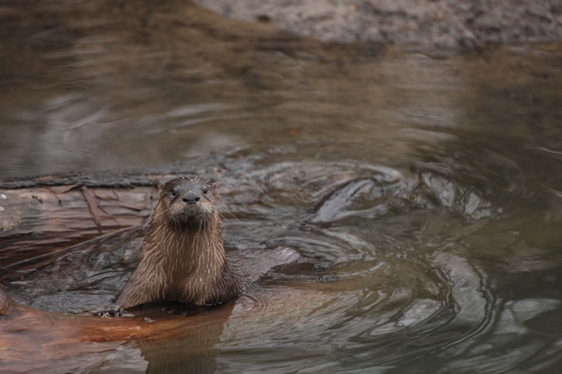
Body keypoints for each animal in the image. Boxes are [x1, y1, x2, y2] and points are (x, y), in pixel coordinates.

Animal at [116, 177, 241, 308]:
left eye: (205, 190)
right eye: (173, 191)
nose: (191, 197)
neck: (179, 273)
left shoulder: (213, 291)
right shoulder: (139, 285)